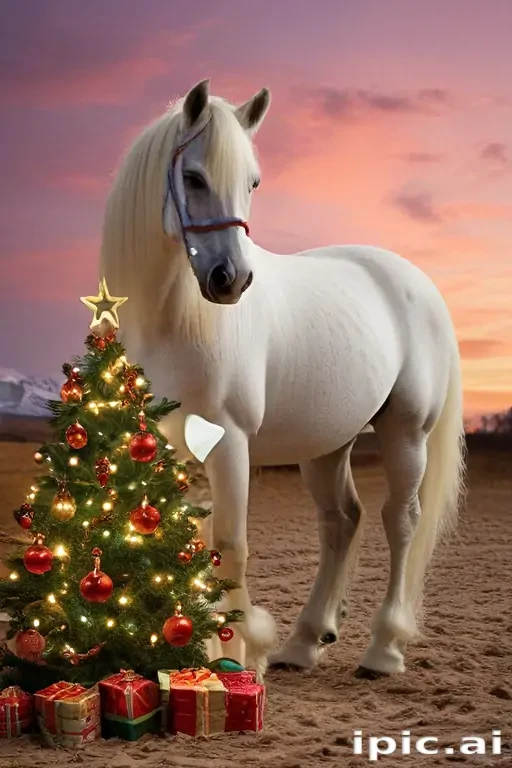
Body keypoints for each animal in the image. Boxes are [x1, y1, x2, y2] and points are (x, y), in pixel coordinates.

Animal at [100, 79, 466, 681]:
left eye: (252, 182)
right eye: (193, 177)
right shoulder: (164, 448)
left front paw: (240, 647)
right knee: (341, 520)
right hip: (327, 444)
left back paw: (384, 649)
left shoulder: (230, 443)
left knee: (401, 520)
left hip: (406, 432)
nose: (230, 279)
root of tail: (415, 280)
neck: (174, 321)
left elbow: (230, 543)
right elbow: (183, 543)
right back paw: (304, 642)